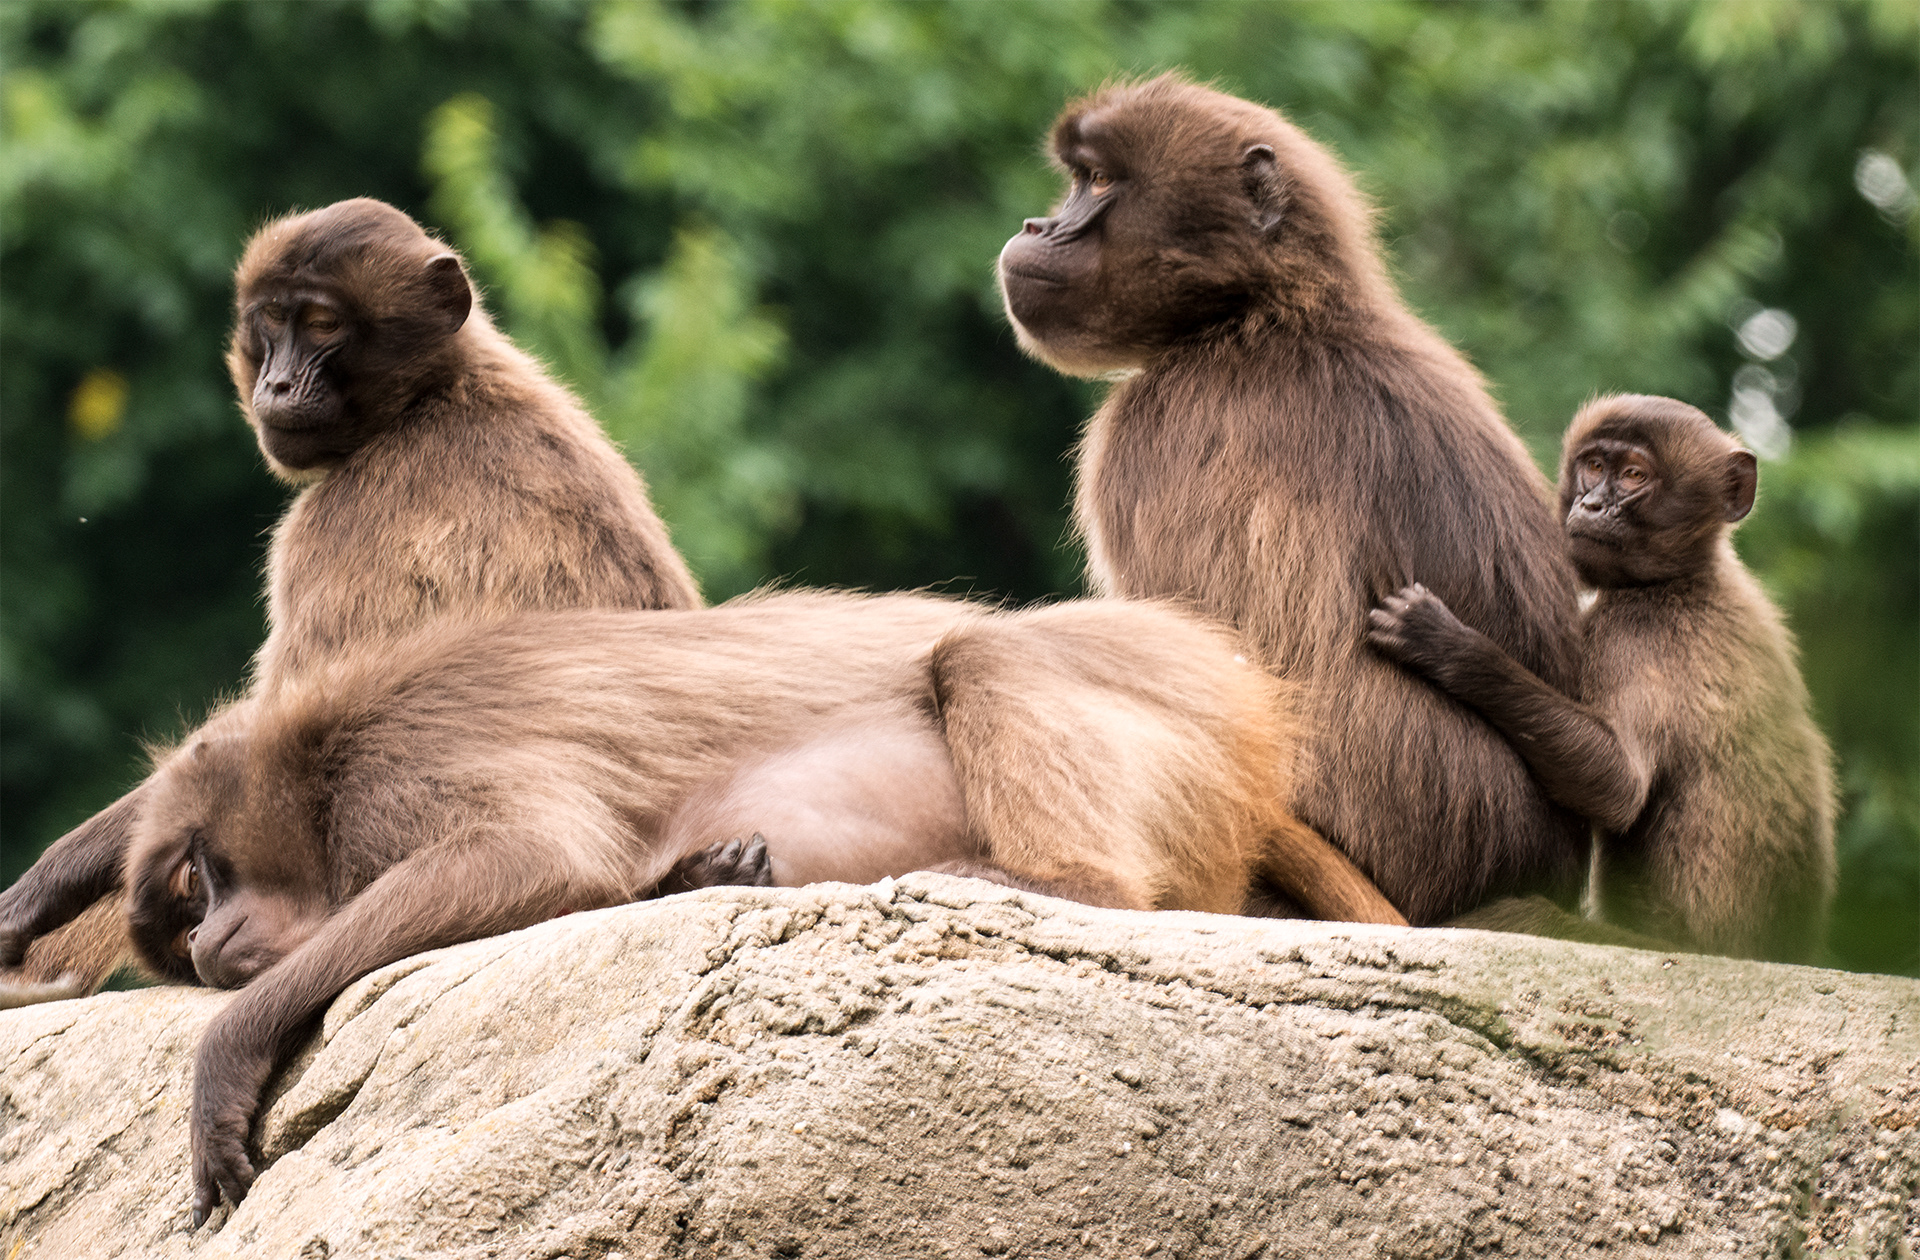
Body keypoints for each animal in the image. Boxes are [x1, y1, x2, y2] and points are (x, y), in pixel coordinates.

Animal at [1, 198, 701, 996]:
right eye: (272, 320)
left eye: (322, 324)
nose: (276, 386)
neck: (432, 395)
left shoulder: (342, 522)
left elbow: (273, 739)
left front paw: (43, 890)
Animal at [96, 589, 1398, 1222]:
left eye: (201, 875)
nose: (207, 943)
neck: (320, 767)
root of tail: (1258, 750)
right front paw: (699, 875)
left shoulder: (398, 774)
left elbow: (538, 857)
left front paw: (228, 1052)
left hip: (1179, 718)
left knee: (987, 664)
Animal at [1366, 395, 1837, 962]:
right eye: (1593, 466)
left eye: (1634, 475)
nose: (1591, 506)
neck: (1683, 577)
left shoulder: (1637, 632)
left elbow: (1619, 786)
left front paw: (1451, 646)